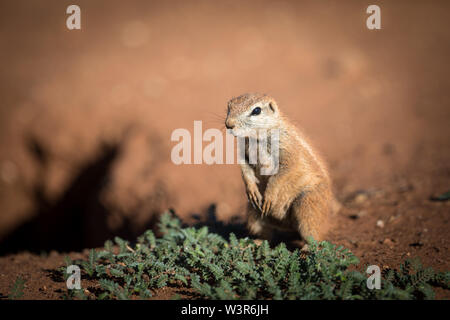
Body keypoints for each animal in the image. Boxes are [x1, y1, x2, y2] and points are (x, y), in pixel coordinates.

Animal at [225, 94, 338, 244]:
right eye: (229, 106)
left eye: (256, 110)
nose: (228, 124)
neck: (259, 137)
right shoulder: (244, 150)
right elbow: (245, 167)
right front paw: (251, 188)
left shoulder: (287, 149)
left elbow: (282, 172)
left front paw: (270, 195)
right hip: (253, 212)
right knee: (267, 235)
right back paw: (256, 242)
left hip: (307, 204)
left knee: (315, 237)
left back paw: (307, 247)